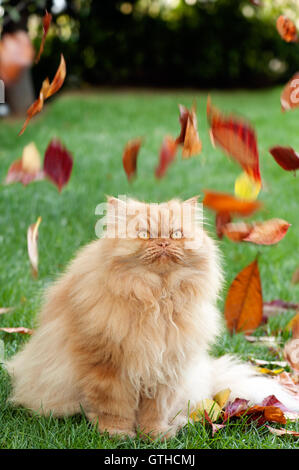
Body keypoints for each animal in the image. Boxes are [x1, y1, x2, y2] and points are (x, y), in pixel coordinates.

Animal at [5, 196, 299, 438]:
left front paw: (154, 436)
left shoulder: (166, 368)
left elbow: (154, 411)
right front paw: (117, 434)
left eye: (176, 234)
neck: (156, 300)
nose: (163, 242)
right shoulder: (108, 366)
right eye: (145, 235)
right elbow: (113, 408)